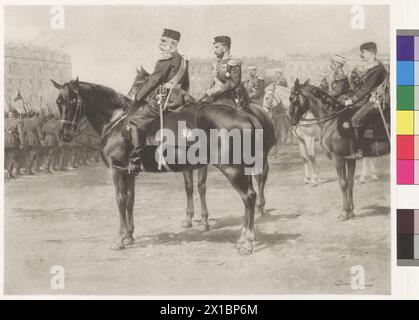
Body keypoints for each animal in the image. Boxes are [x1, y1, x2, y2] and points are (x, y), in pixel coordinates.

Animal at [52, 77, 274, 255]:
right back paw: (243, 238)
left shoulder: (116, 170)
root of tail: (247, 115)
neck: (118, 123)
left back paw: (247, 242)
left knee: (248, 197)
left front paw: (120, 239)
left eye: (72, 101)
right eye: (58, 102)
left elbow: (120, 200)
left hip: (232, 169)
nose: (64, 134)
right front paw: (130, 236)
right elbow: (130, 200)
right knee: (250, 195)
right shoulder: (129, 172)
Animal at [288, 79, 390, 221]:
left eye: (292, 98)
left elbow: (343, 183)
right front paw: (351, 211)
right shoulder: (350, 159)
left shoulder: (338, 158)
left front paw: (344, 212)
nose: (290, 119)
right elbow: (350, 182)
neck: (332, 120)